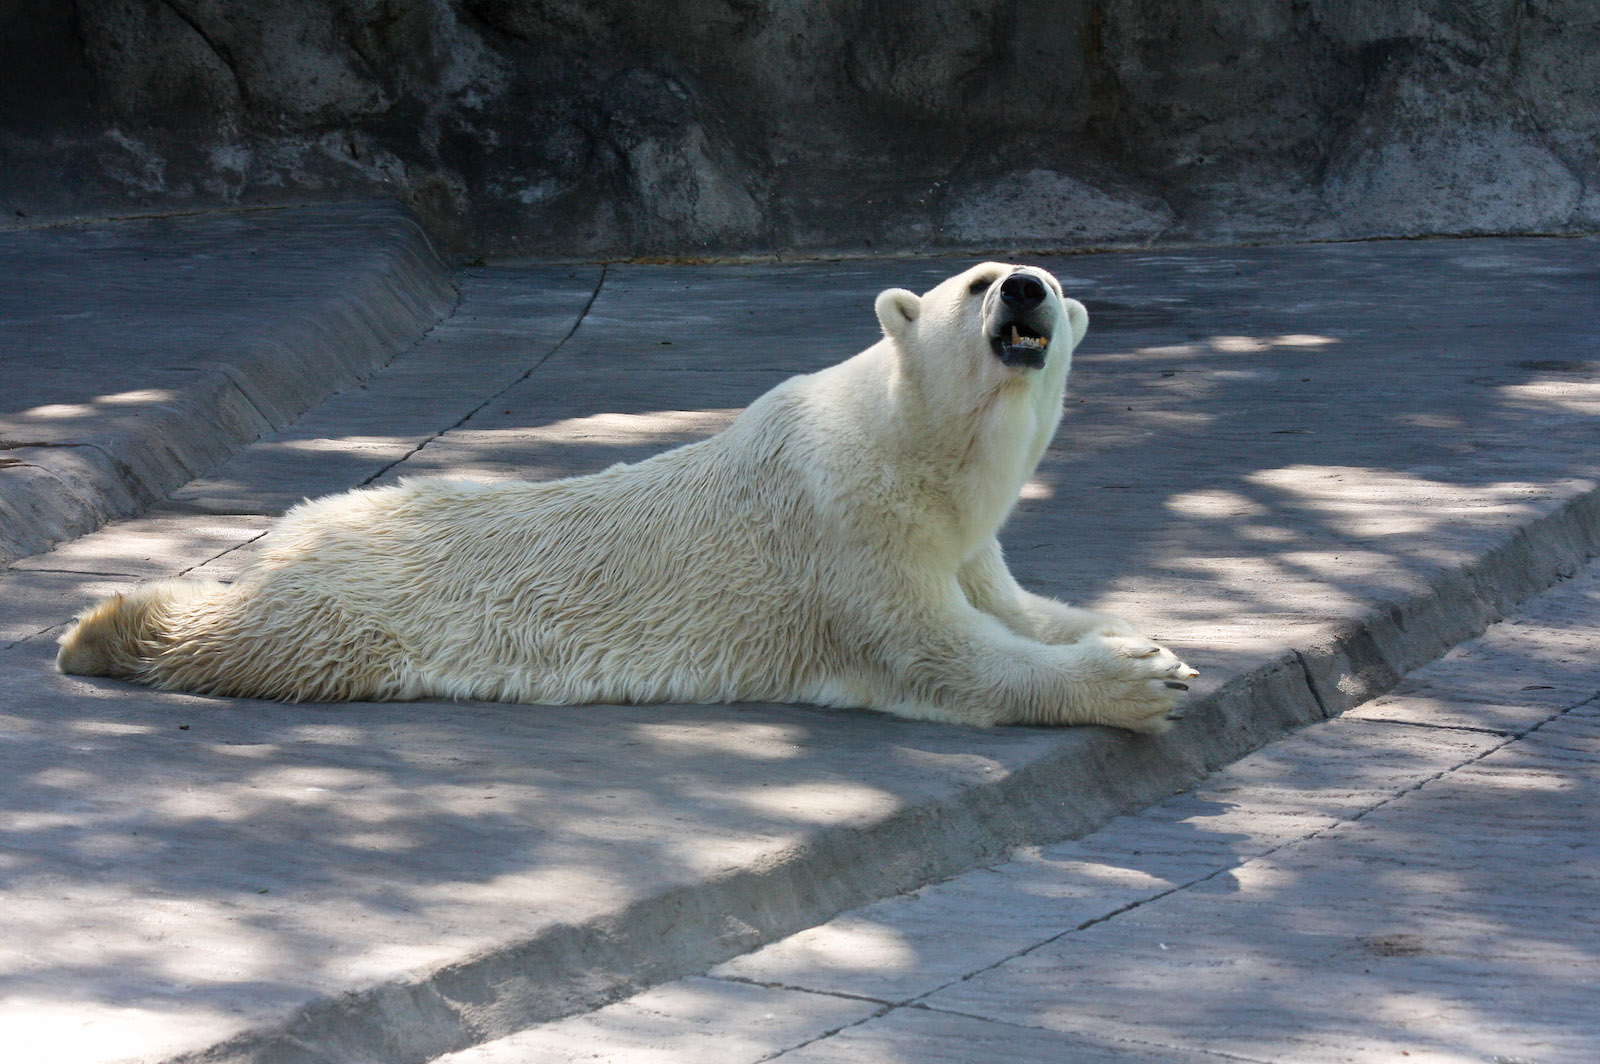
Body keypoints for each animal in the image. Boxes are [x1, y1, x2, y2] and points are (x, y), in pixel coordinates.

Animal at [57, 262, 1197, 731]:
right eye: (979, 281)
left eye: (1048, 281)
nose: (1028, 291)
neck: (906, 444)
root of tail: (299, 525)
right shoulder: (844, 531)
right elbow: (943, 652)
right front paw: (1129, 683)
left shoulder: (961, 543)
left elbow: (1019, 608)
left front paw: (1159, 646)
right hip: (361, 602)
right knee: (272, 641)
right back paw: (102, 626)